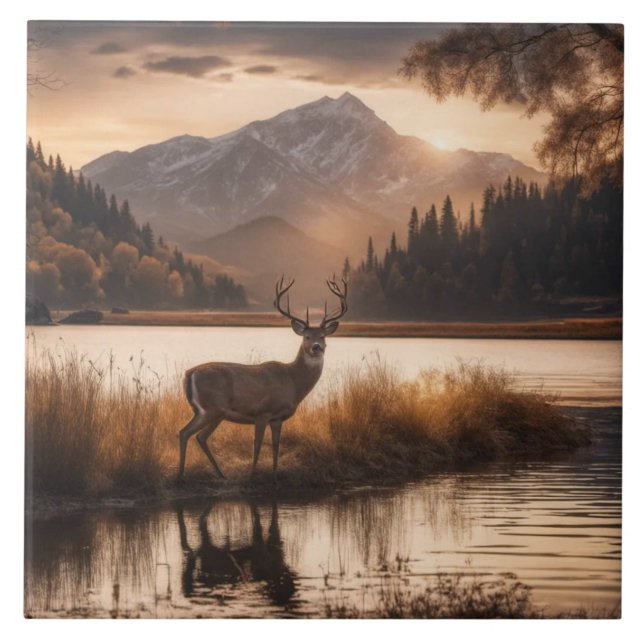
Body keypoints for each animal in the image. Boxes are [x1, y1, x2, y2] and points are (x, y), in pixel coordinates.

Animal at [177, 276, 348, 483]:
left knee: (191, 435)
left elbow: (276, 446)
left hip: (206, 411)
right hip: (213, 409)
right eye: (306, 337)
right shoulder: (262, 412)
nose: (317, 347)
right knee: (191, 434)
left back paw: (210, 474)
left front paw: (275, 477)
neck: (293, 382)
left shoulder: (277, 418)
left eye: (323, 337)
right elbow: (257, 445)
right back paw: (186, 474)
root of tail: (189, 373)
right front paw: (252, 476)